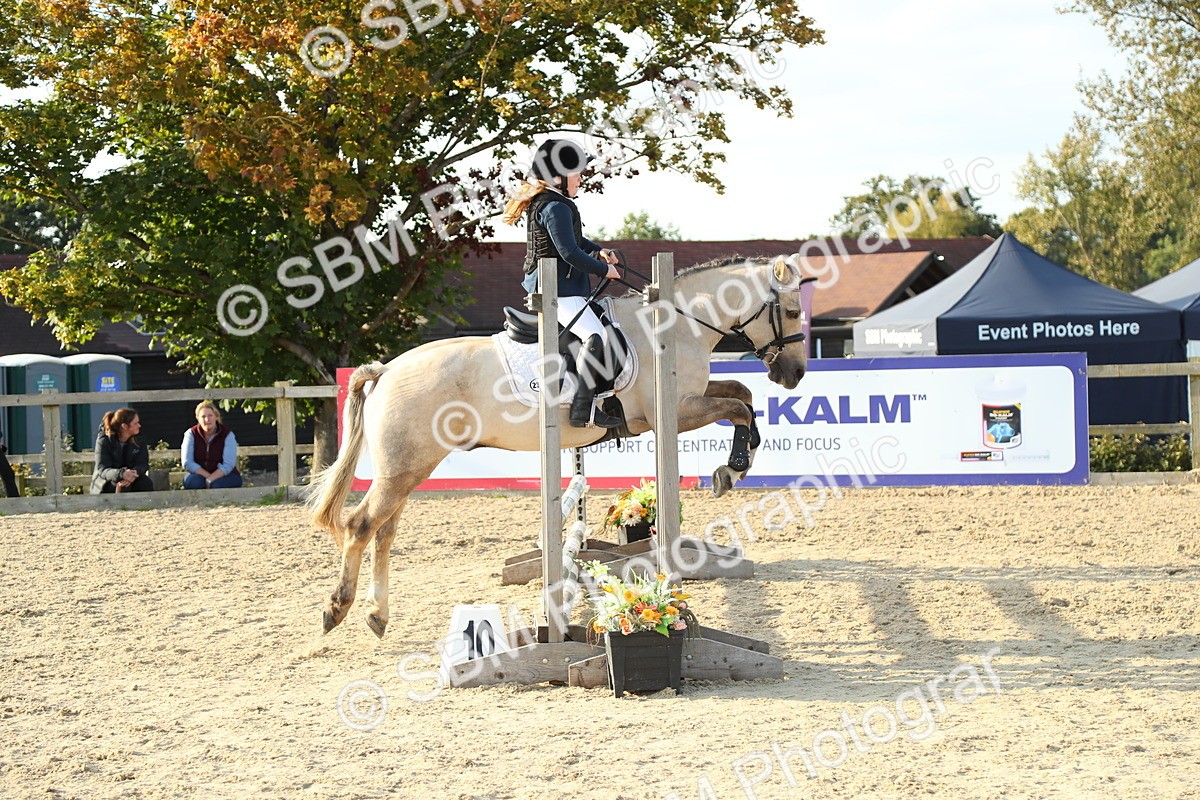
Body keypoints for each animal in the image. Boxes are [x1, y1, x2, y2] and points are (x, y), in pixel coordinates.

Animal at [307, 255, 810, 636]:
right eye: (790, 312)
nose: (795, 374)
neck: (676, 324)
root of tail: (386, 369)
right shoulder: (674, 411)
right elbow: (740, 407)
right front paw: (733, 468)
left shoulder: (687, 402)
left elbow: (743, 395)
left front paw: (735, 464)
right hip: (404, 466)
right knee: (360, 526)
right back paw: (338, 609)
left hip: (409, 466)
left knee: (384, 531)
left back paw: (377, 614)